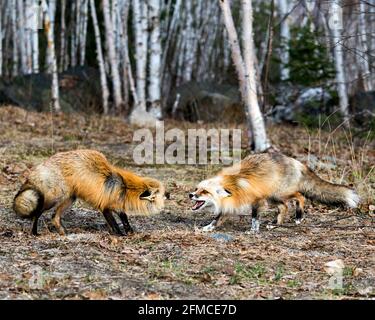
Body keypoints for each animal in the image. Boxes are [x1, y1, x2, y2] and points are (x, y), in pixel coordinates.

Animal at [13, 149, 166, 235]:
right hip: (54, 199)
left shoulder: (117, 206)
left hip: (70, 199)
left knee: (54, 217)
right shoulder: (105, 207)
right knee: (37, 214)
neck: (125, 187)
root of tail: (40, 166)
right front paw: (119, 235)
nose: (168, 195)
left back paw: (63, 233)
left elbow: (125, 219)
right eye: (158, 195)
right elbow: (115, 224)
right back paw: (34, 233)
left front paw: (129, 232)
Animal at [191, 153, 362, 231]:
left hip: (279, 194)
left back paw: (298, 217)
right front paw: (207, 228)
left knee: (300, 197)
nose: (190, 195)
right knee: (284, 207)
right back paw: (276, 224)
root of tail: (295, 161)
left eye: (205, 191)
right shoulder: (231, 204)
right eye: (196, 189)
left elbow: (255, 217)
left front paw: (253, 231)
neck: (234, 186)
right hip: (273, 197)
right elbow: (217, 219)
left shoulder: (257, 200)